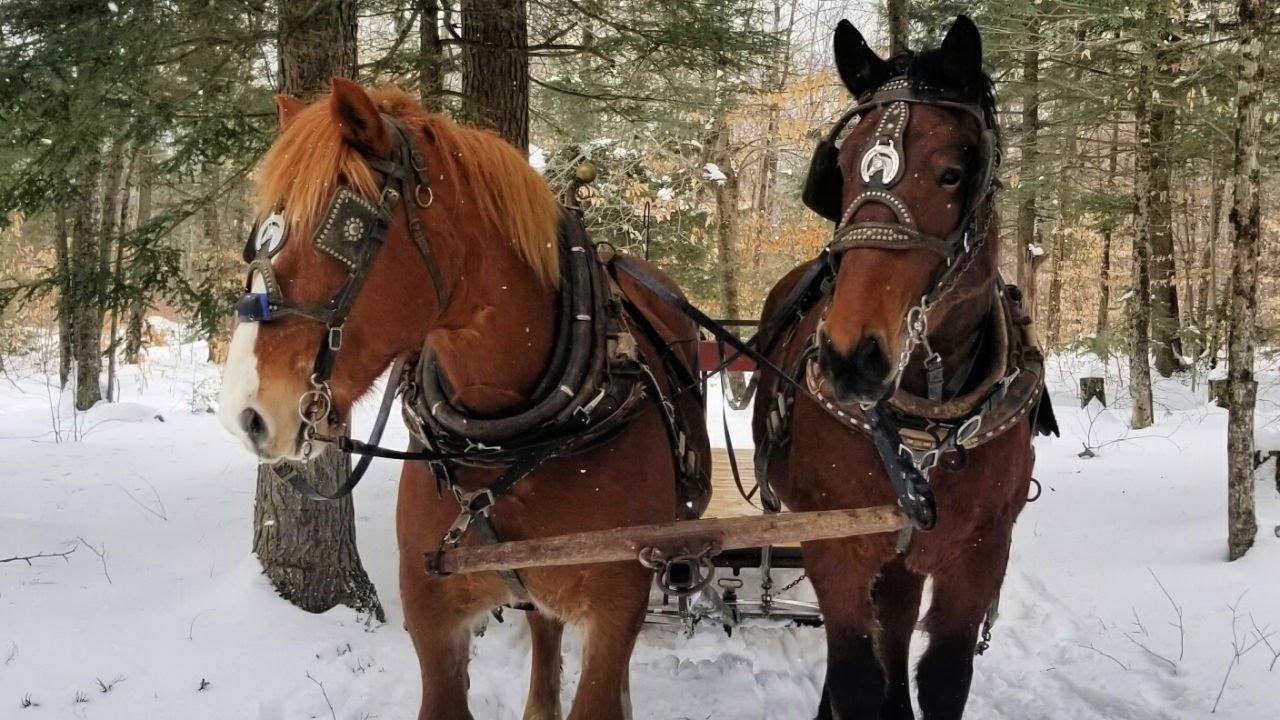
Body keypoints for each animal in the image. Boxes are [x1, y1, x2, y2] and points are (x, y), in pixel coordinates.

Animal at [217, 79, 710, 720]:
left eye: (347, 230)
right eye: (258, 236)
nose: (245, 414)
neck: (509, 442)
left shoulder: (613, 610)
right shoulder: (433, 617)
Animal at [751, 17, 1057, 719]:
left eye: (952, 172)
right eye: (839, 170)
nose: (851, 357)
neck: (925, 423)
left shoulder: (978, 555)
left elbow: (941, 677)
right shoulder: (835, 545)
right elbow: (859, 680)